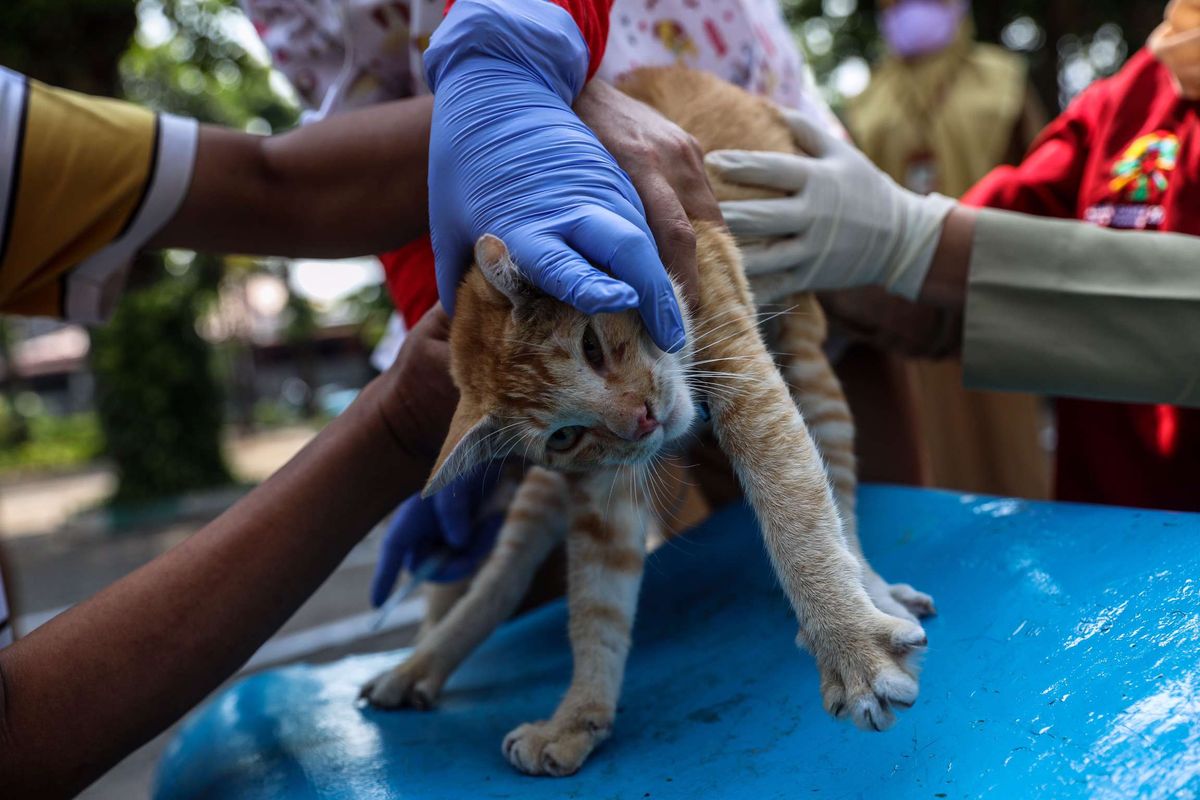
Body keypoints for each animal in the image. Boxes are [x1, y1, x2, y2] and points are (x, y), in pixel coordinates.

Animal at [364, 67, 936, 777]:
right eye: (564, 435)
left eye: (590, 345)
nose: (640, 421)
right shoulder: (599, 489)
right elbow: (594, 603)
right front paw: (577, 715)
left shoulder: (747, 374)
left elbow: (796, 509)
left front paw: (851, 646)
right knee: (497, 579)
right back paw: (419, 663)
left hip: (811, 370)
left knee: (842, 506)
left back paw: (876, 592)